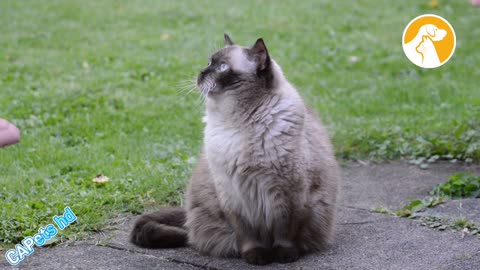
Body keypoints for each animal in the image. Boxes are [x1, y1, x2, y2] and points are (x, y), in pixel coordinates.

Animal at [130, 34, 342, 266]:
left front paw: (284, 256)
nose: (201, 72)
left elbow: (285, 232)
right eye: (209, 62)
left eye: (222, 67)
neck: (237, 123)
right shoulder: (232, 195)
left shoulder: (290, 193)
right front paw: (256, 257)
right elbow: (246, 235)